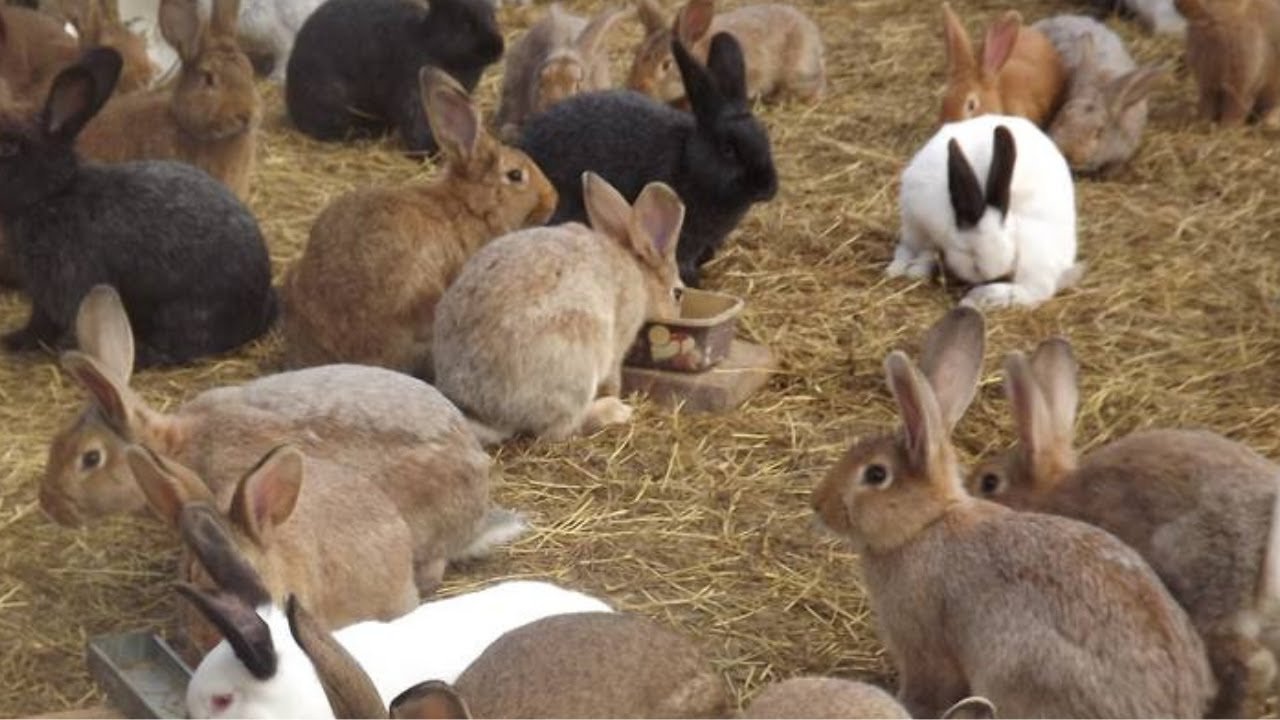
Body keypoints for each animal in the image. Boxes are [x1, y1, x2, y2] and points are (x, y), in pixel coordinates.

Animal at [0, 50, 275, 367]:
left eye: (8, 148)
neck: (54, 194)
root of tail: (259, 303)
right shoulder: (43, 295)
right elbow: (40, 324)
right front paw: (15, 341)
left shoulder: (69, 281)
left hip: (185, 313)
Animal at [285, 0, 503, 155]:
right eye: (466, 23)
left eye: (493, 16)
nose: (497, 49)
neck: (430, 41)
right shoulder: (414, 92)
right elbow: (419, 125)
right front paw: (431, 154)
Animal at [432, 173, 684, 444]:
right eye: (678, 293)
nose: (676, 315)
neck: (639, 272)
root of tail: (487, 412)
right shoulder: (619, 341)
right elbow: (614, 374)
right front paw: (616, 395)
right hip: (579, 358)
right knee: (559, 430)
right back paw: (614, 412)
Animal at [890, 114, 1082, 309]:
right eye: (970, 254)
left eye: (1012, 250)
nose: (986, 277)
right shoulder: (920, 224)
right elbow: (921, 250)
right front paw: (911, 269)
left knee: (1035, 290)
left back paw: (980, 296)